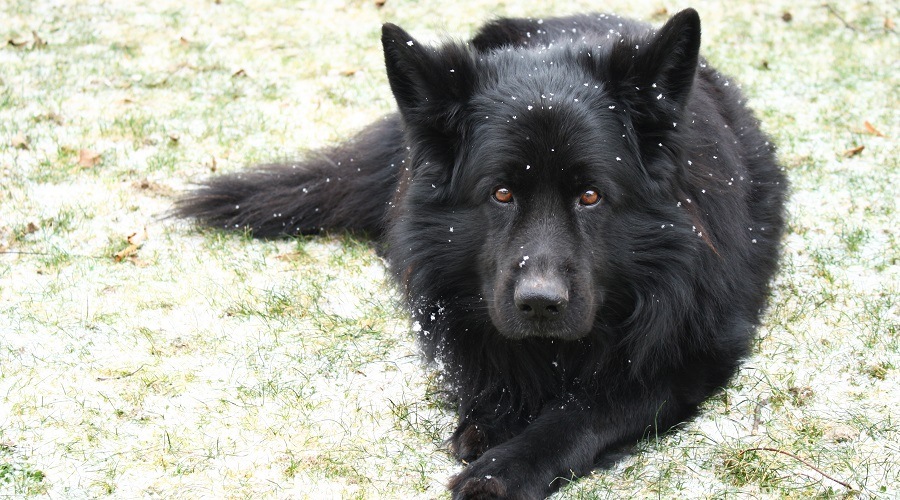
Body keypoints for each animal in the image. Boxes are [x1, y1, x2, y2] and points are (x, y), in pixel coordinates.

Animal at [174, 8, 780, 500]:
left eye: (590, 196)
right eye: (502, 193)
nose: (540, 304)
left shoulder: (689, 358)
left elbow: (583, 411)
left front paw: (505, 468)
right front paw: (492, 416)